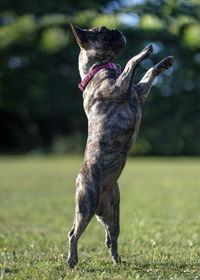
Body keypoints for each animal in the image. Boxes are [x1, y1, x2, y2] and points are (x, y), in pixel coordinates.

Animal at [67, 23, 173, 268]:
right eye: (103, 32)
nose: (117, 29)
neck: (98, 69)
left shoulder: (137, 91)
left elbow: (147, 74)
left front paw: (163, 63)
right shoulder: (120, 88)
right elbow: (132, 62)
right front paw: (144, 51)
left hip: (113, 213)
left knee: (110, 238)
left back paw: (117, 261)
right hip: (85, 205)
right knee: (74, 233)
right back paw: (72, 260)